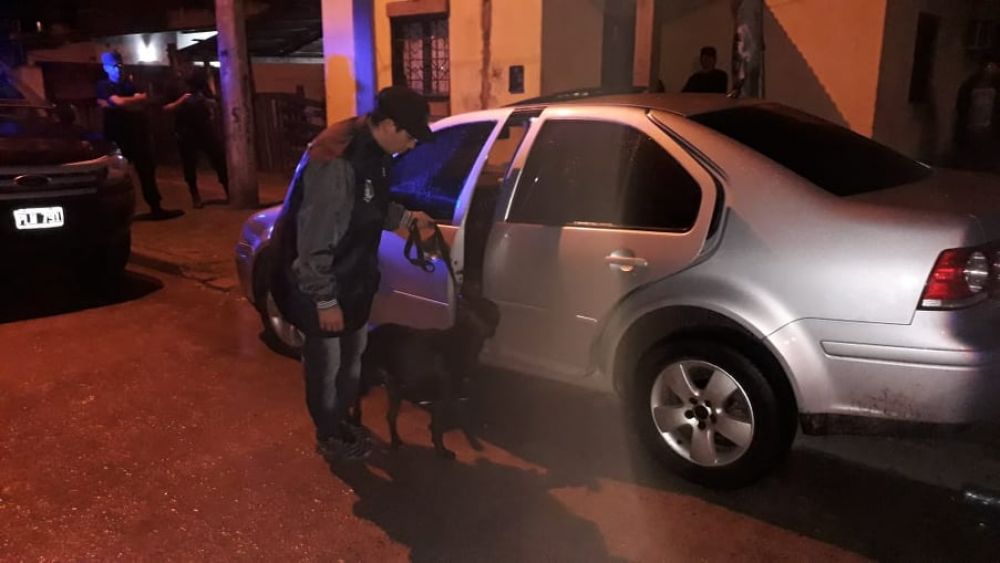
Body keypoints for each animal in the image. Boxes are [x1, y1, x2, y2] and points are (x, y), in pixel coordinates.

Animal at [352, 294, 501, 459]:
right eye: (482, 313)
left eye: (491, 313)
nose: (491, 329)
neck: (463, 339)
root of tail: (371, 334)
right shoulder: (443, 398)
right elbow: (438, 428)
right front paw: (442, 450)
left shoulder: (452, 396)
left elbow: (462, 420)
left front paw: (474, 443)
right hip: (371, 380)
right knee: (361, 399)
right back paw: (360, 421)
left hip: (394, 388)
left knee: (389, 415)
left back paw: (392, 439)